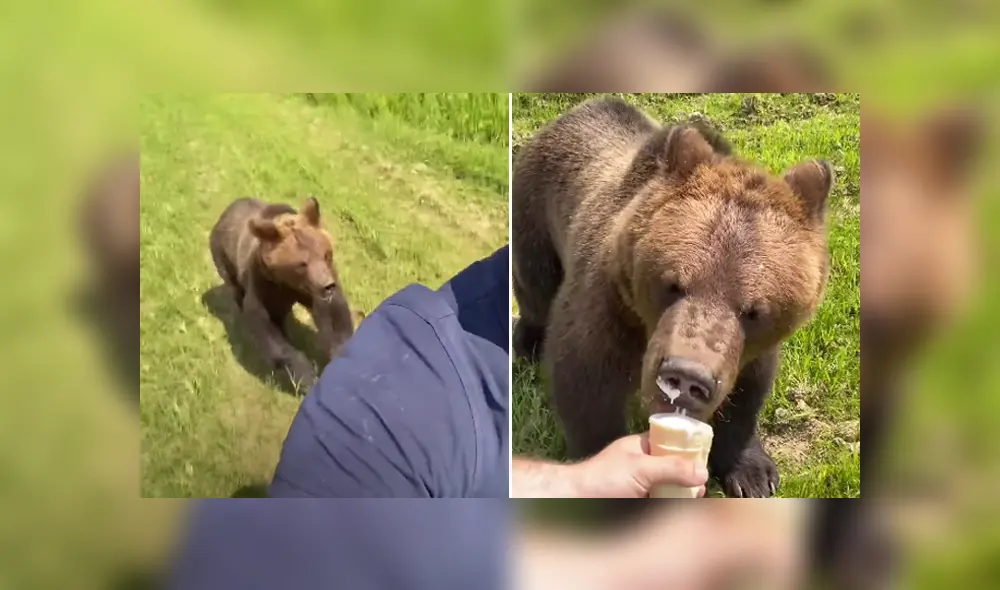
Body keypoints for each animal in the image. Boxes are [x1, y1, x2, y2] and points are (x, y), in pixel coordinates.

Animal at [209, 196, 355, 391]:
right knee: (237, 290)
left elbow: (334, 315)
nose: (327, 286)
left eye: (326, 254)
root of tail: (225, 212)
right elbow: (265, 324)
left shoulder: (313, 287)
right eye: (302, 264)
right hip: (224, 257)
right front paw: (306, 375)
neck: (289, 282)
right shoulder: (264, 283)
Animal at [512, 96, 833, 497]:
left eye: (754, 311)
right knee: (535, 290)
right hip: (536, 218)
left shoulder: (750, 350)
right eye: (673, 285)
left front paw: (752, 475)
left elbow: (747, 392)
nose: (686, 375)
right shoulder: (609, 306)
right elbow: (586, 384)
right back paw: (527, 344)